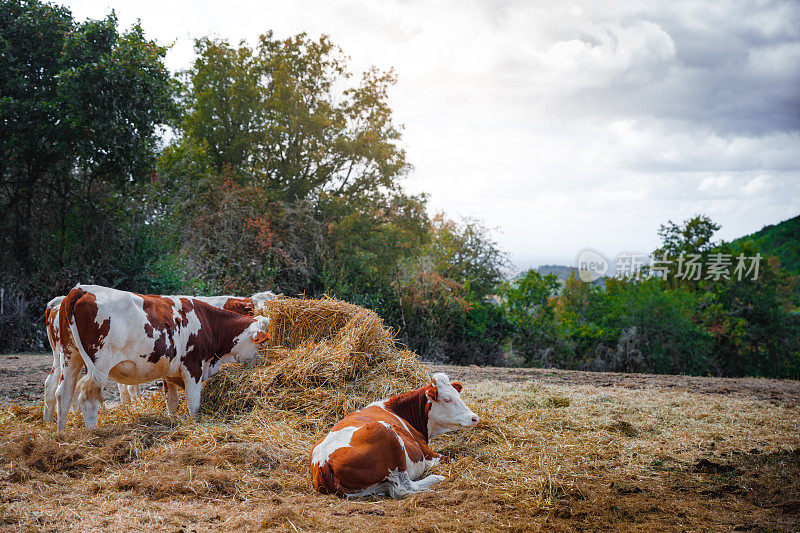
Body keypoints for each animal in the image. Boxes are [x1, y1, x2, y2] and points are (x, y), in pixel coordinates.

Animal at [55, 284, 272, 430]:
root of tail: (83, 289)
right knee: (87, 396)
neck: (208, 322)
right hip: (99, 366)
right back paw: (94, 432)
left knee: (63, 394)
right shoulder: (193, 367)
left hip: (70, 357)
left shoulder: (169, 371)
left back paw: (60, 434)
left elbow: (172, 403)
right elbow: (194, 405)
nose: (266, 363)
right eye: (262, 343)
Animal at [310, 372, 478, 496]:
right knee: (406, 486)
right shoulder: (427, 453)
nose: (474, 417)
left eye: (458, 395)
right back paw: (436, 478)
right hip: (390, 440)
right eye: (447, 399)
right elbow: (451, 458)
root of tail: (323, 462)